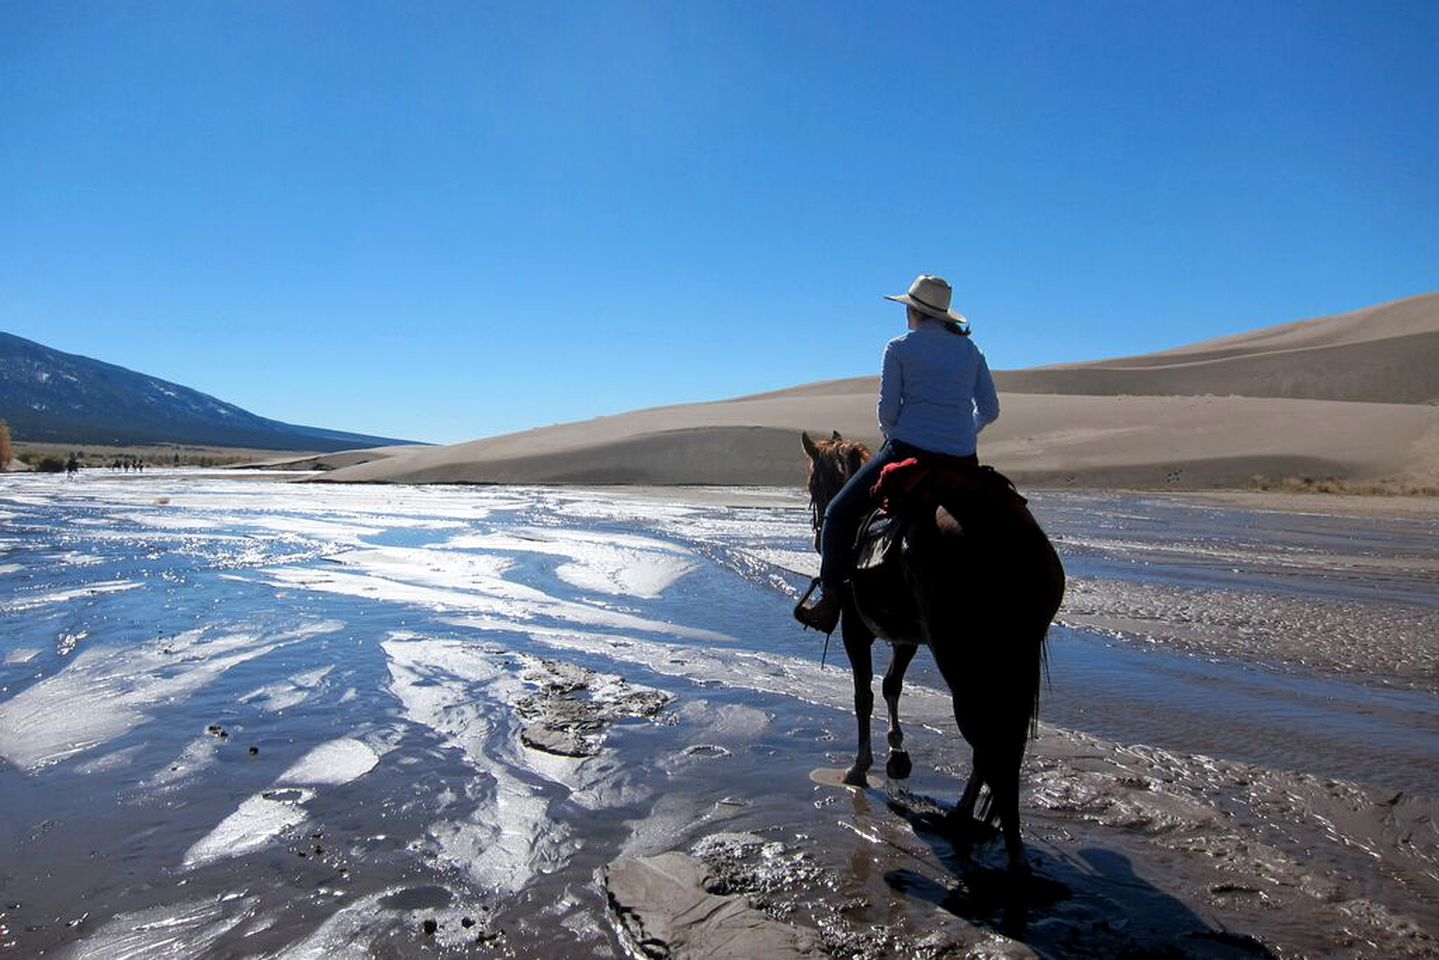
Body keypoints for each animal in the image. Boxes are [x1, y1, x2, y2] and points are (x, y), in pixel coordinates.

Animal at [800, 431, 1070, 875]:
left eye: (811, 484)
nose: (818, 532)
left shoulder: (856, 630)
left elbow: (863, 696)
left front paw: (860, 767)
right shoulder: (907, 637)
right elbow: (891, 686)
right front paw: (897, 753)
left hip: (962, 659)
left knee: (987, 740)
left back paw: (995, 838)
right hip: (1008, 655)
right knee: (991, 746)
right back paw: (972, 821)